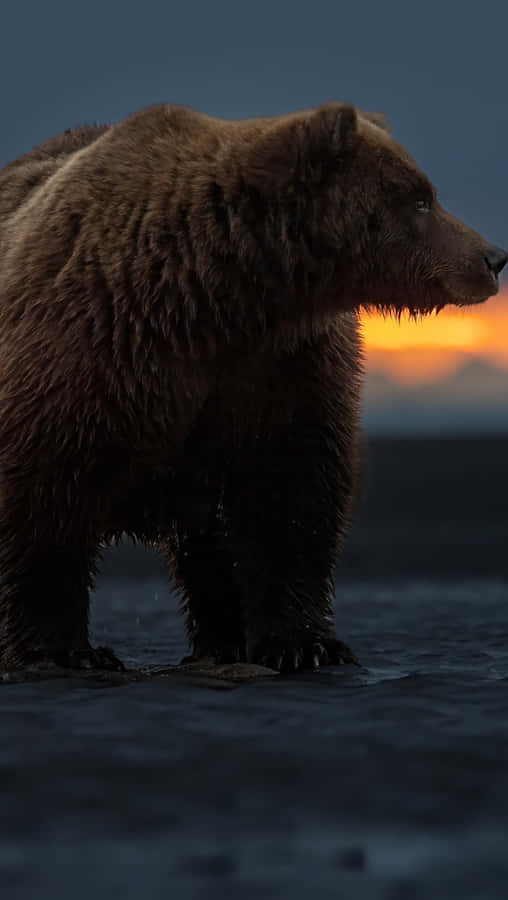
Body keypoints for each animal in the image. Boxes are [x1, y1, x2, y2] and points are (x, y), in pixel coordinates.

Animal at [0, 101, 505, 673]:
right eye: (420, 197)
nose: (493, 257)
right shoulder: (91, 347)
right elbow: (47, 499)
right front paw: (67, 652)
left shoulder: (279, 369)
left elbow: (291, 494)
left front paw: (305, 645)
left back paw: (223, 639)